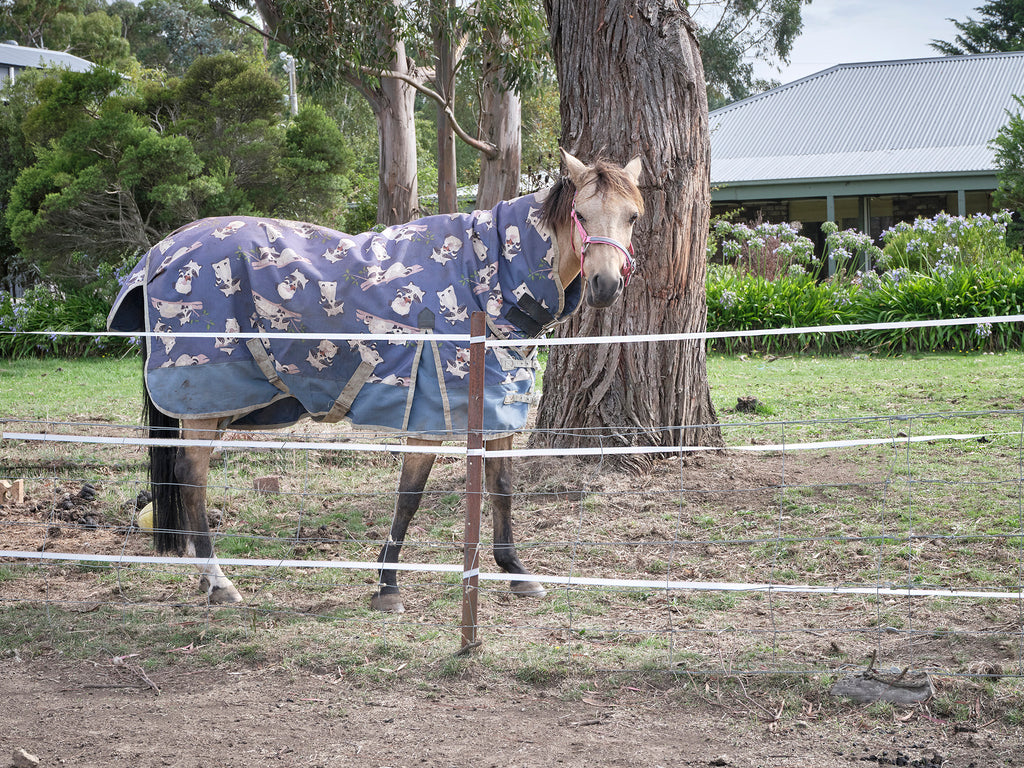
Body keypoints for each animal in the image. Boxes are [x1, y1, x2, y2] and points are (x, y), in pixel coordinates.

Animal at [108, 147, 643, 610]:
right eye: (582, 214)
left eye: (632, 216)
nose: (606, 286)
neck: (484, 280)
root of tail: (158, 255)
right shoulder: (428, 416)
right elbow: (410, 497)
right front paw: (387, 584)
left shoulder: (498, 409)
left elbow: (502, 490)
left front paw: (516, 572)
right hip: (204, 404)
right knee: (191, 479)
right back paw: (219, 582)